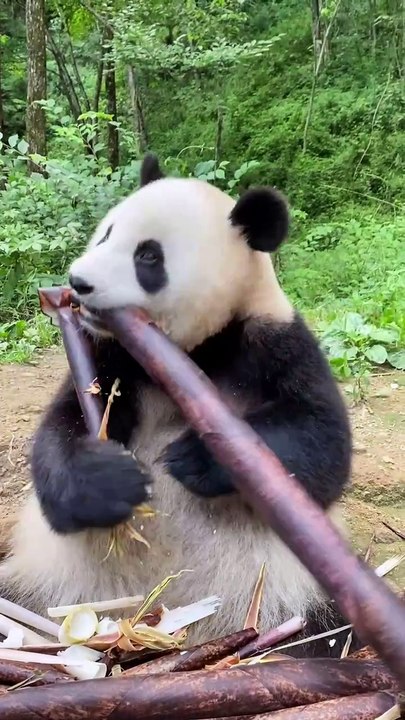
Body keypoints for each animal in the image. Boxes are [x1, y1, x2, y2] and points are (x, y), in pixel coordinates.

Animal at [0, 154, 353, 656]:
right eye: (107, 233)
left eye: (148, 256)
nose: (78, 282)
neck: (192, 350)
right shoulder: (109, 355)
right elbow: (63, 428)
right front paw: (110, 481)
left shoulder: (273, 342)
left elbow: (321, 442)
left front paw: (194, 457)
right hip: (45, 578)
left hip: (290, 595)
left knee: (326, 628)